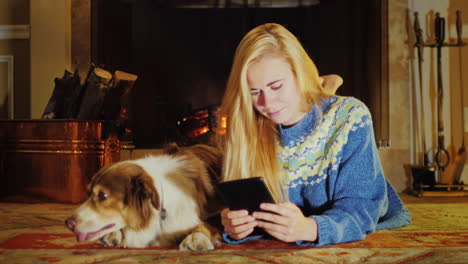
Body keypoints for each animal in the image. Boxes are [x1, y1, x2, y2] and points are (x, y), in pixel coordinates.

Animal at [65, 144, 224, 250]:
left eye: (102, 195)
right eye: (88, 193)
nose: (68, 223)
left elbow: (205, 225)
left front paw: (197, 238)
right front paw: (114, 235)